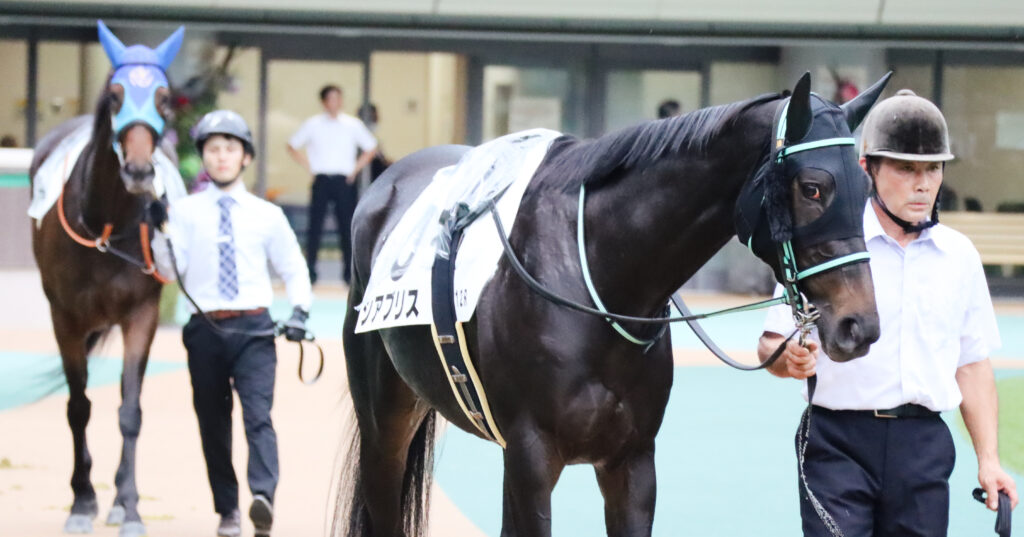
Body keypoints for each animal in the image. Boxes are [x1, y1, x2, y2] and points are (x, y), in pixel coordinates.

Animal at [29, 21, 183, 536]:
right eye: (115, 96)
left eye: (163, 98)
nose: (137, 170)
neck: (106, 227)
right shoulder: (65, 318)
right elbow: (79, 407)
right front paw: (82, 501)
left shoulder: (143, 313)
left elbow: (129, 411)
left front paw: (129, 507)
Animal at [338, 72, 890, 537]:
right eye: (812, 188)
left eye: (866, 186)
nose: (858, 325)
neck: (599, 280)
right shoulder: (532, 456)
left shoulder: (632, 460)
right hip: (384, 422)